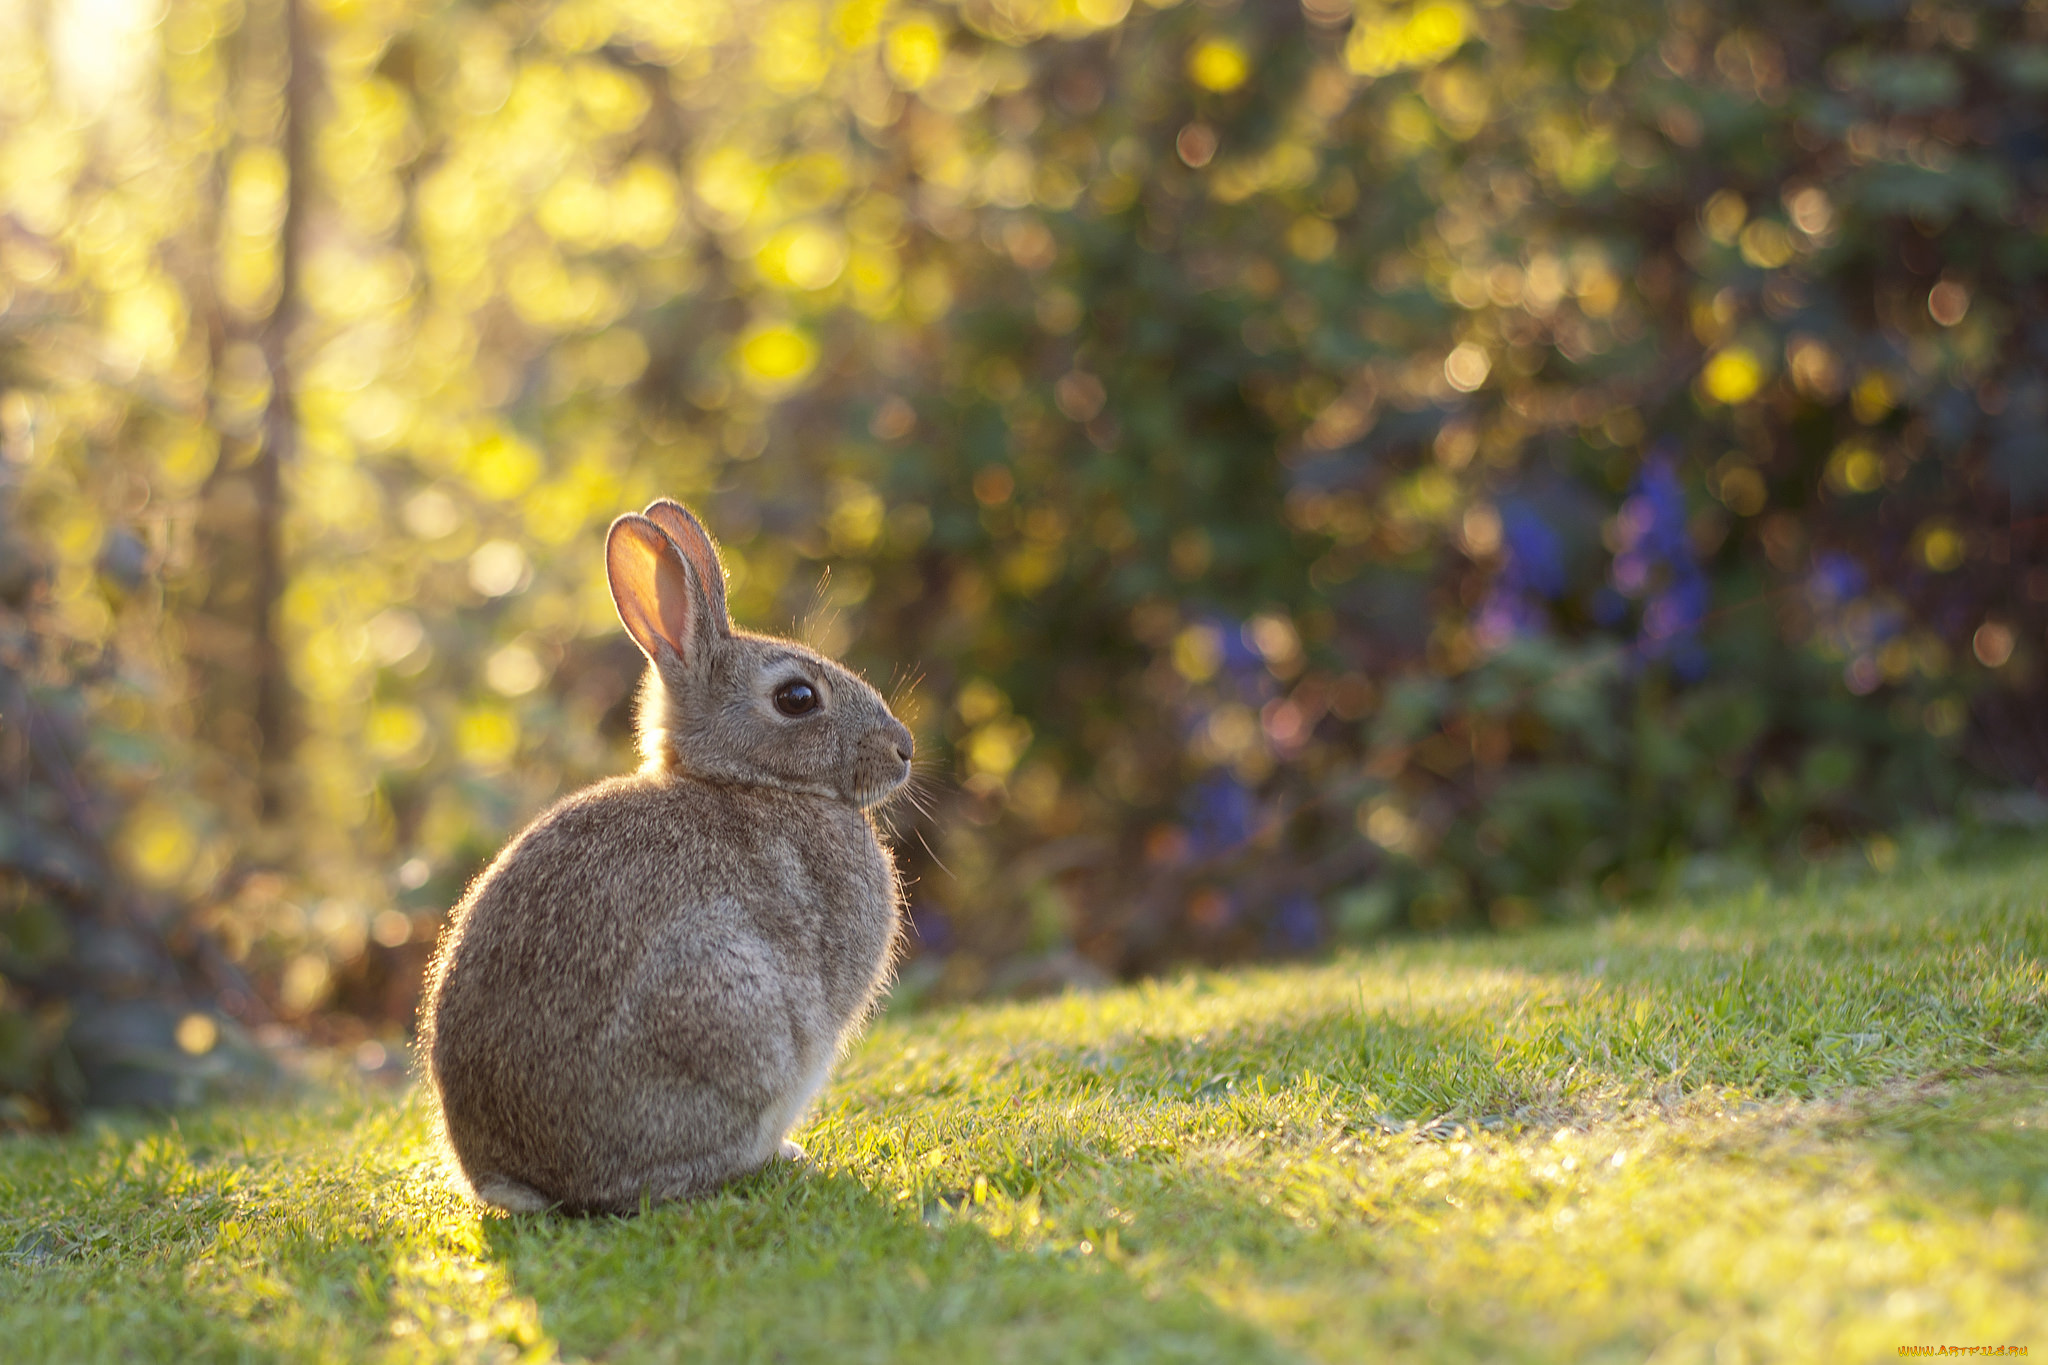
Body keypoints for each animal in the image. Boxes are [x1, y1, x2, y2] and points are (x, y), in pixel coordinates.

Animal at [415, 501, 913, 1219]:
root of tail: (521, 1176)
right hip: (726, 1005)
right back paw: (775, 1157)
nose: (904, 748)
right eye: (797, 698)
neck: (746, 781)